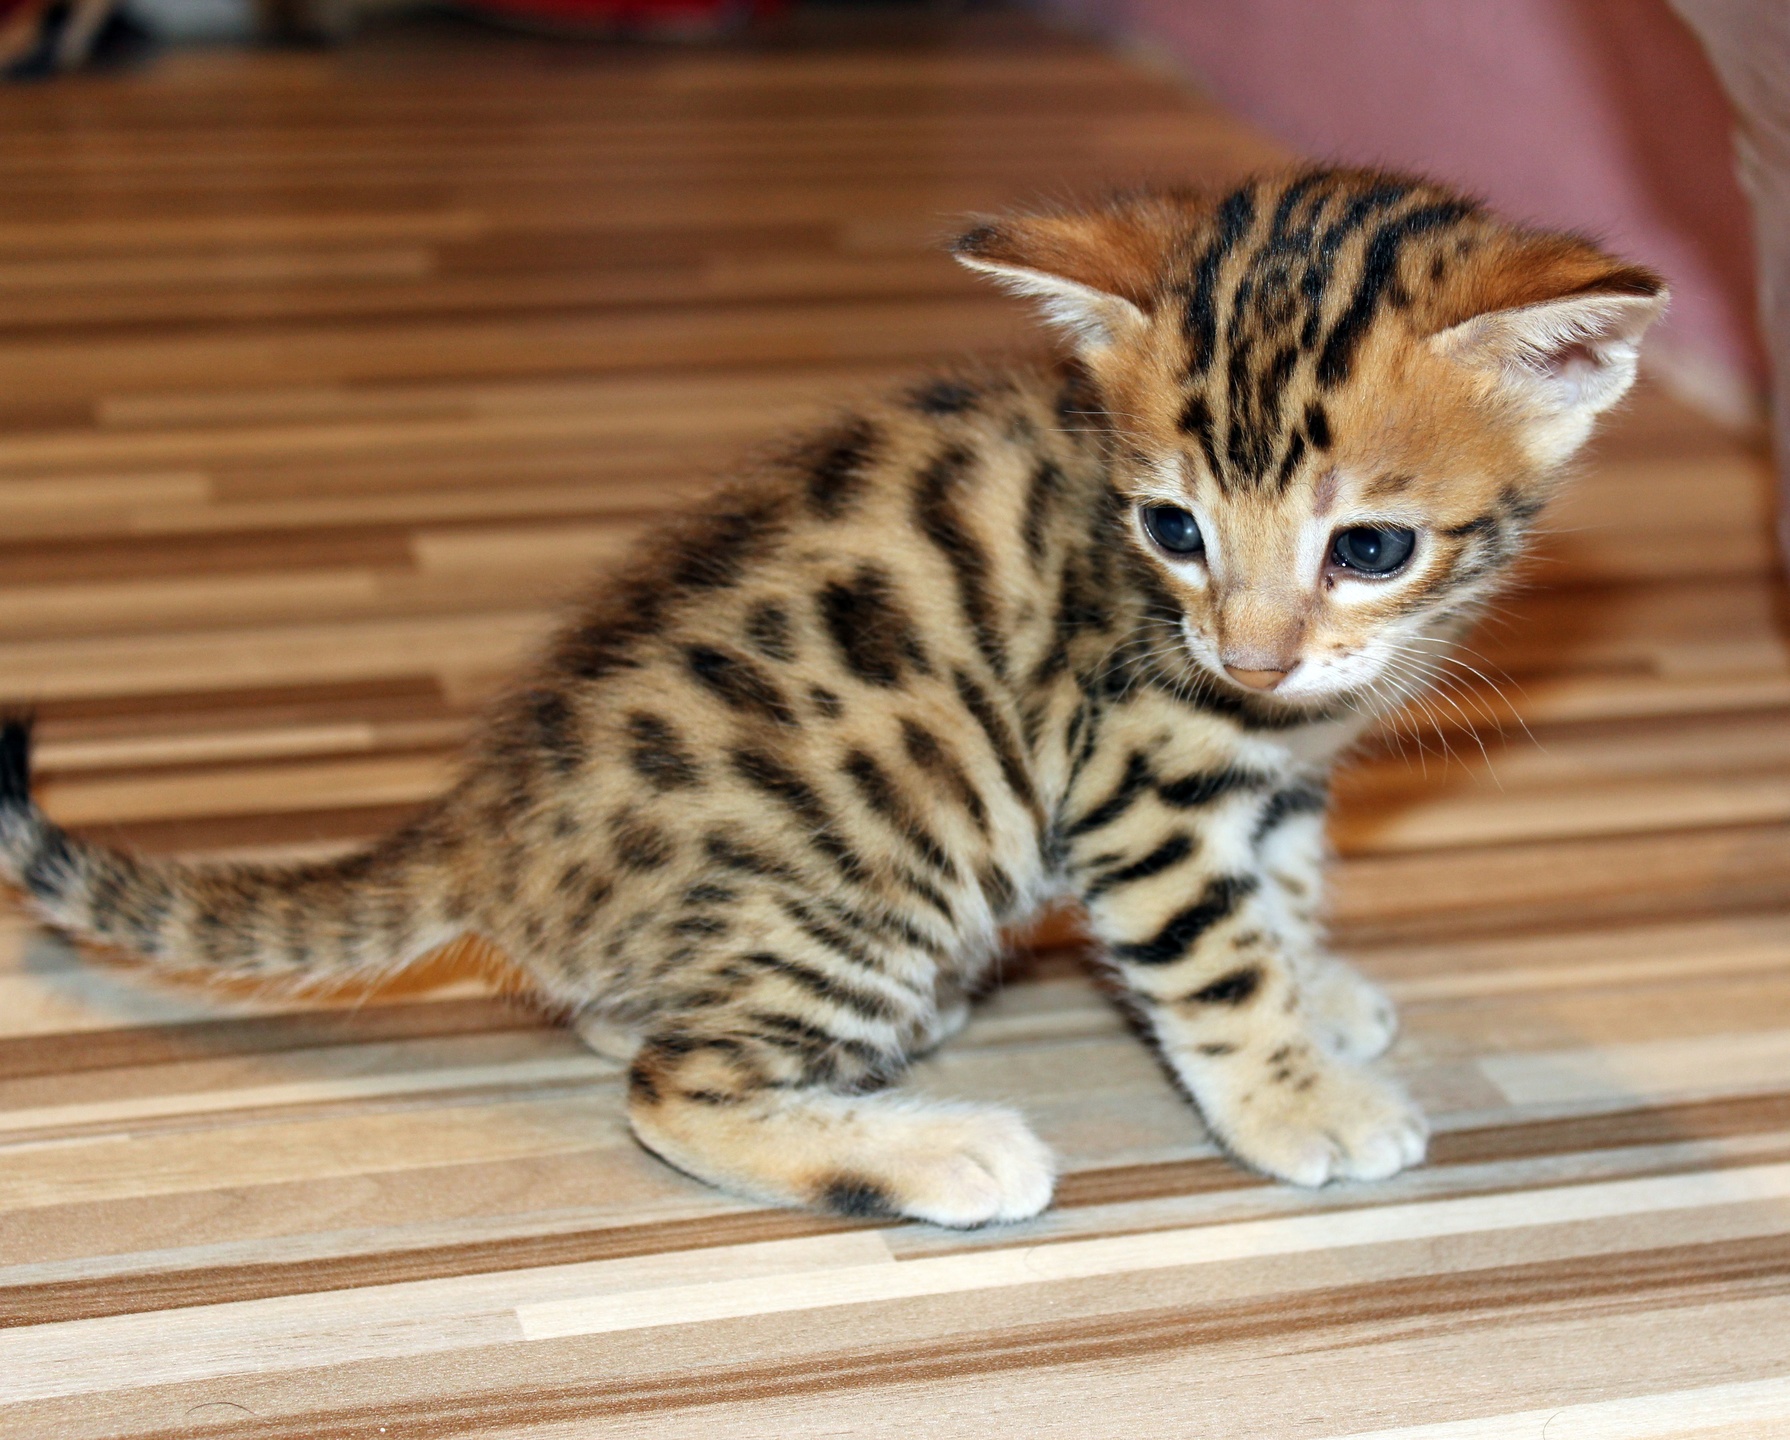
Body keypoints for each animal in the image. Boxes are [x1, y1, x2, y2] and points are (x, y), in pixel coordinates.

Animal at [0, 171, 1661, 1225]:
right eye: (1171, 528)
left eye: (1366, 547)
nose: (1247, 655)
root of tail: (486, 825)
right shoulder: (1137, 779)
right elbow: (1212, 957)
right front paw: (1294, 1097)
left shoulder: (1276, 764)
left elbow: (1289, 885)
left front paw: (1319, 989)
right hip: (882, 876)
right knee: (670, 1086)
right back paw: (937, 1153)